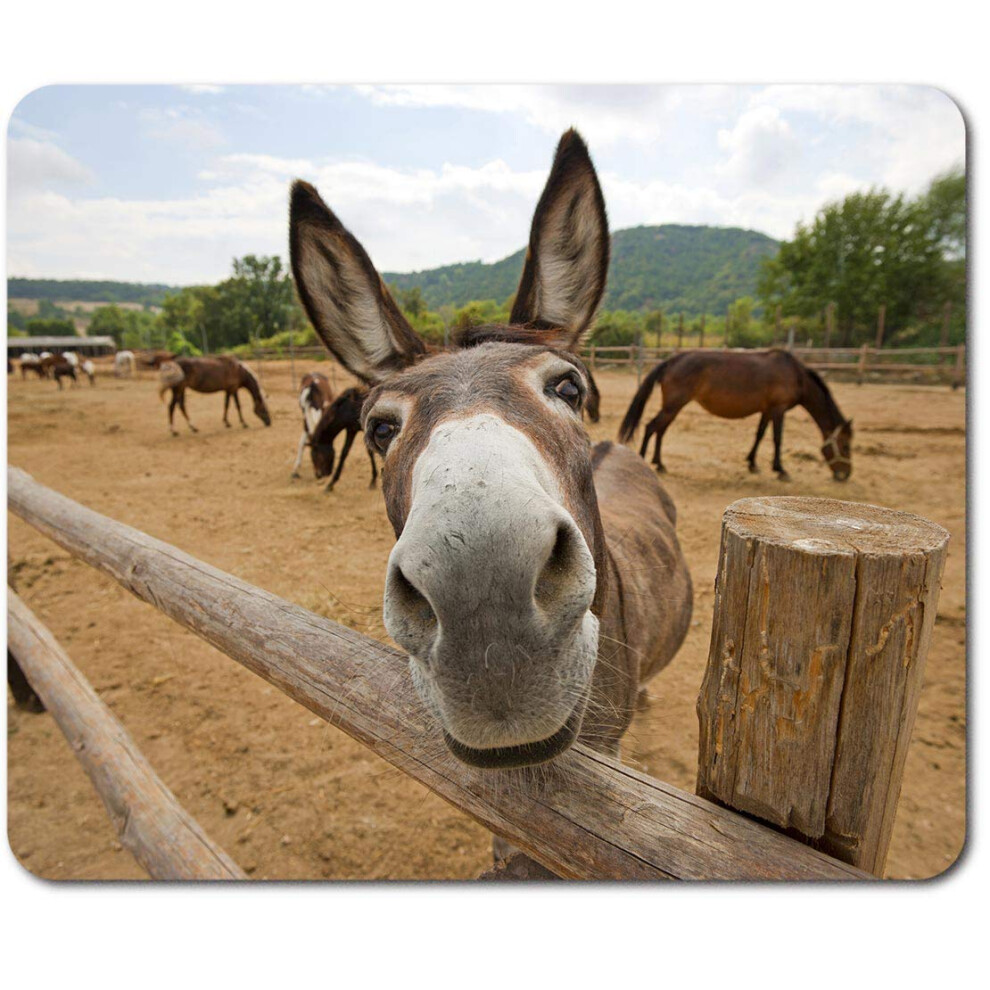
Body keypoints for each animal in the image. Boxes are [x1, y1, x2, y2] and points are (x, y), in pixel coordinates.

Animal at [618, 349, 854, 481]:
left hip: (673, 407)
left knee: (660, 430)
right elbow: (777, 439)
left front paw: (752, 464)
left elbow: (759, 435)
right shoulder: (778, 410)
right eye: (845, 446)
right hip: (673, 406)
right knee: (651, 427)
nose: (845, 475)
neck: (796, 376)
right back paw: (643, 462)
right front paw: (780, 470)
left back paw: (660, 463)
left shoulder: (766, 410)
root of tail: (671, 361)